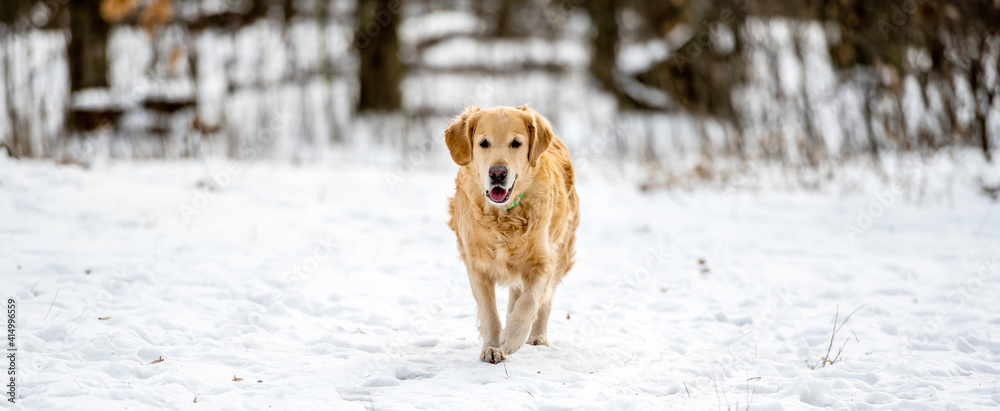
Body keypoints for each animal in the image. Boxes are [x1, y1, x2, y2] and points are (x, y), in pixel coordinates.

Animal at [446, 104, 580, 364]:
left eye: (516, 143)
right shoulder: (476, 265)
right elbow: (489, 312)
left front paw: (512, 338)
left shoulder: (544, 261)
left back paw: (537, 337)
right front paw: (492, 347)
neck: (503, 217)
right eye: (484, 143)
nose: (497, 173)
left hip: (562, 251)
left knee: (544, 301)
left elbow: (529, 302)